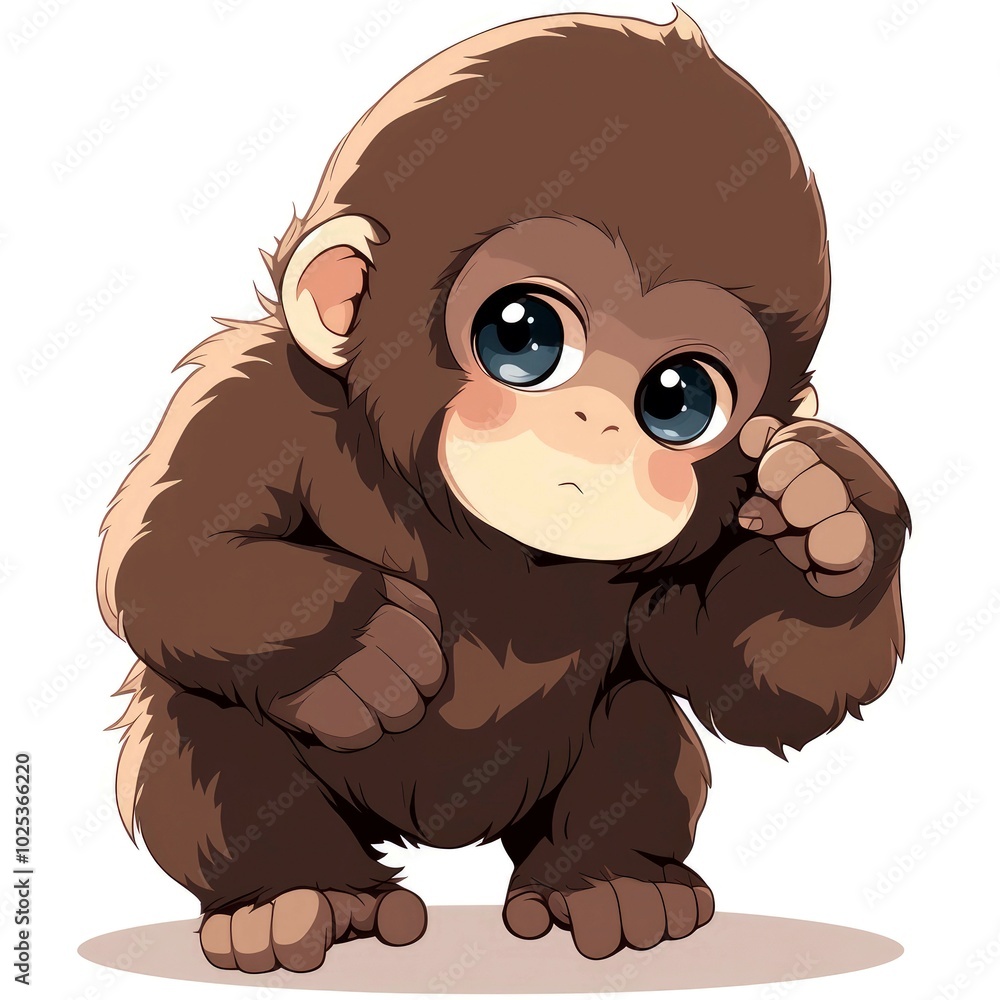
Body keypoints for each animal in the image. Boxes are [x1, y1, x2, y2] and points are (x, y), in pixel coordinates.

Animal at [97, 9, 908, 973]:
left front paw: (832, 520)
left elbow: (735, 670)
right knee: (198, 714)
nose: (597, 425)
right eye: (520, 333)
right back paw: (298, 896)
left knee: (640, 716)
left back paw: (608, 883)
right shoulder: (254, 398)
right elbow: (172, 558)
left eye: (679, 399)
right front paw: (359, 640)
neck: (479, 541)